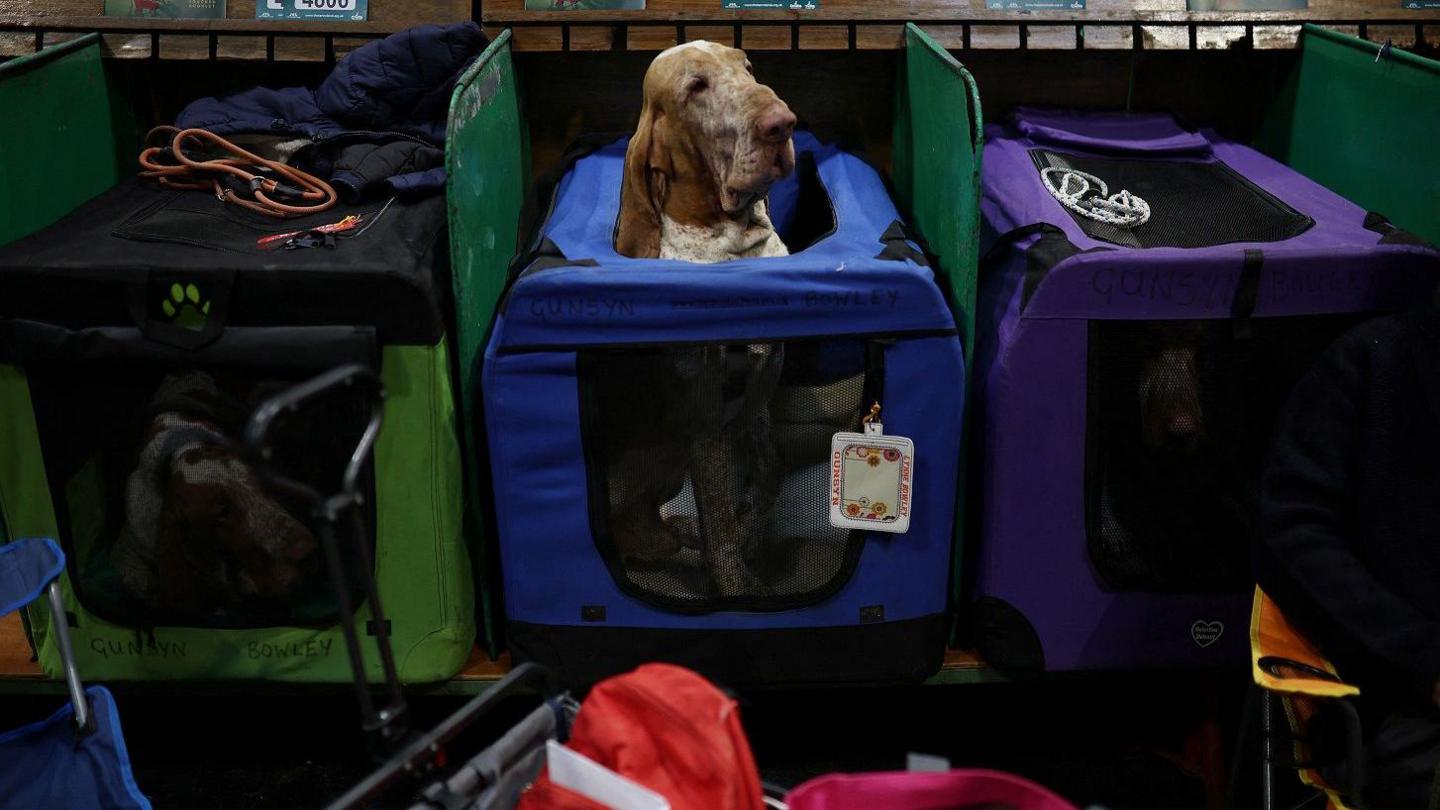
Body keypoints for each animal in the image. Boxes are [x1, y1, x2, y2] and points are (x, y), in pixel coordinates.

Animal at [599, 41, 794, 596]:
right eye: (696, 88)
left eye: (746, 67)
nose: (783, 123)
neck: (734, 245)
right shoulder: (704, 421)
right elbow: (720, 516)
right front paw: (738, 588)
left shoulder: (757, 397)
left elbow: (767, 475)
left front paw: (753, 536)